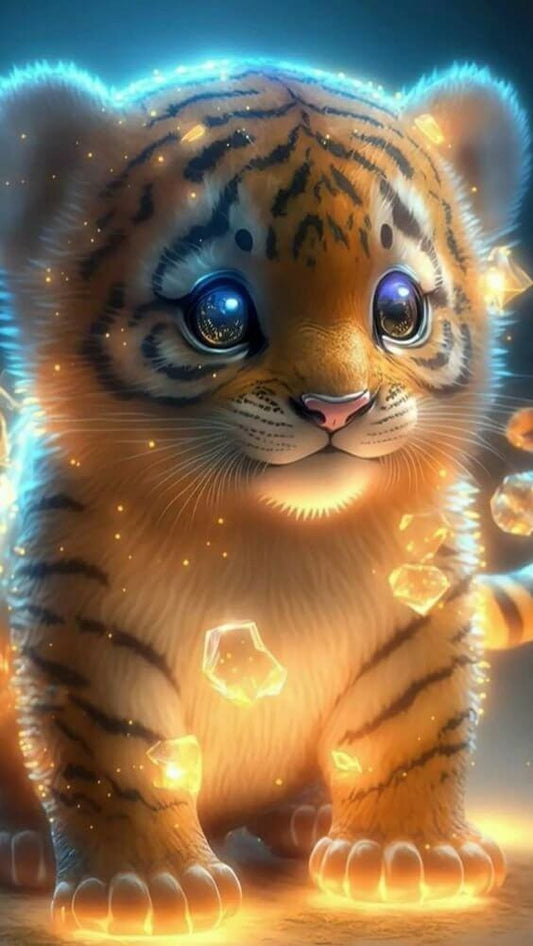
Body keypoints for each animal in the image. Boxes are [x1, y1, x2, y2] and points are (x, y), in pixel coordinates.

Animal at [0, 56, 531, 937]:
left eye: (399, 310)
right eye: (218, 314)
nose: (337, 407)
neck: (278, 535)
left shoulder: (423, 598)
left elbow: (413, 728)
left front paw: (411, 858)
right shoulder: (81, 621)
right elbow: (120, 752)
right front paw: (146, 887)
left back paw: (306, 818)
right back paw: (24, 846)